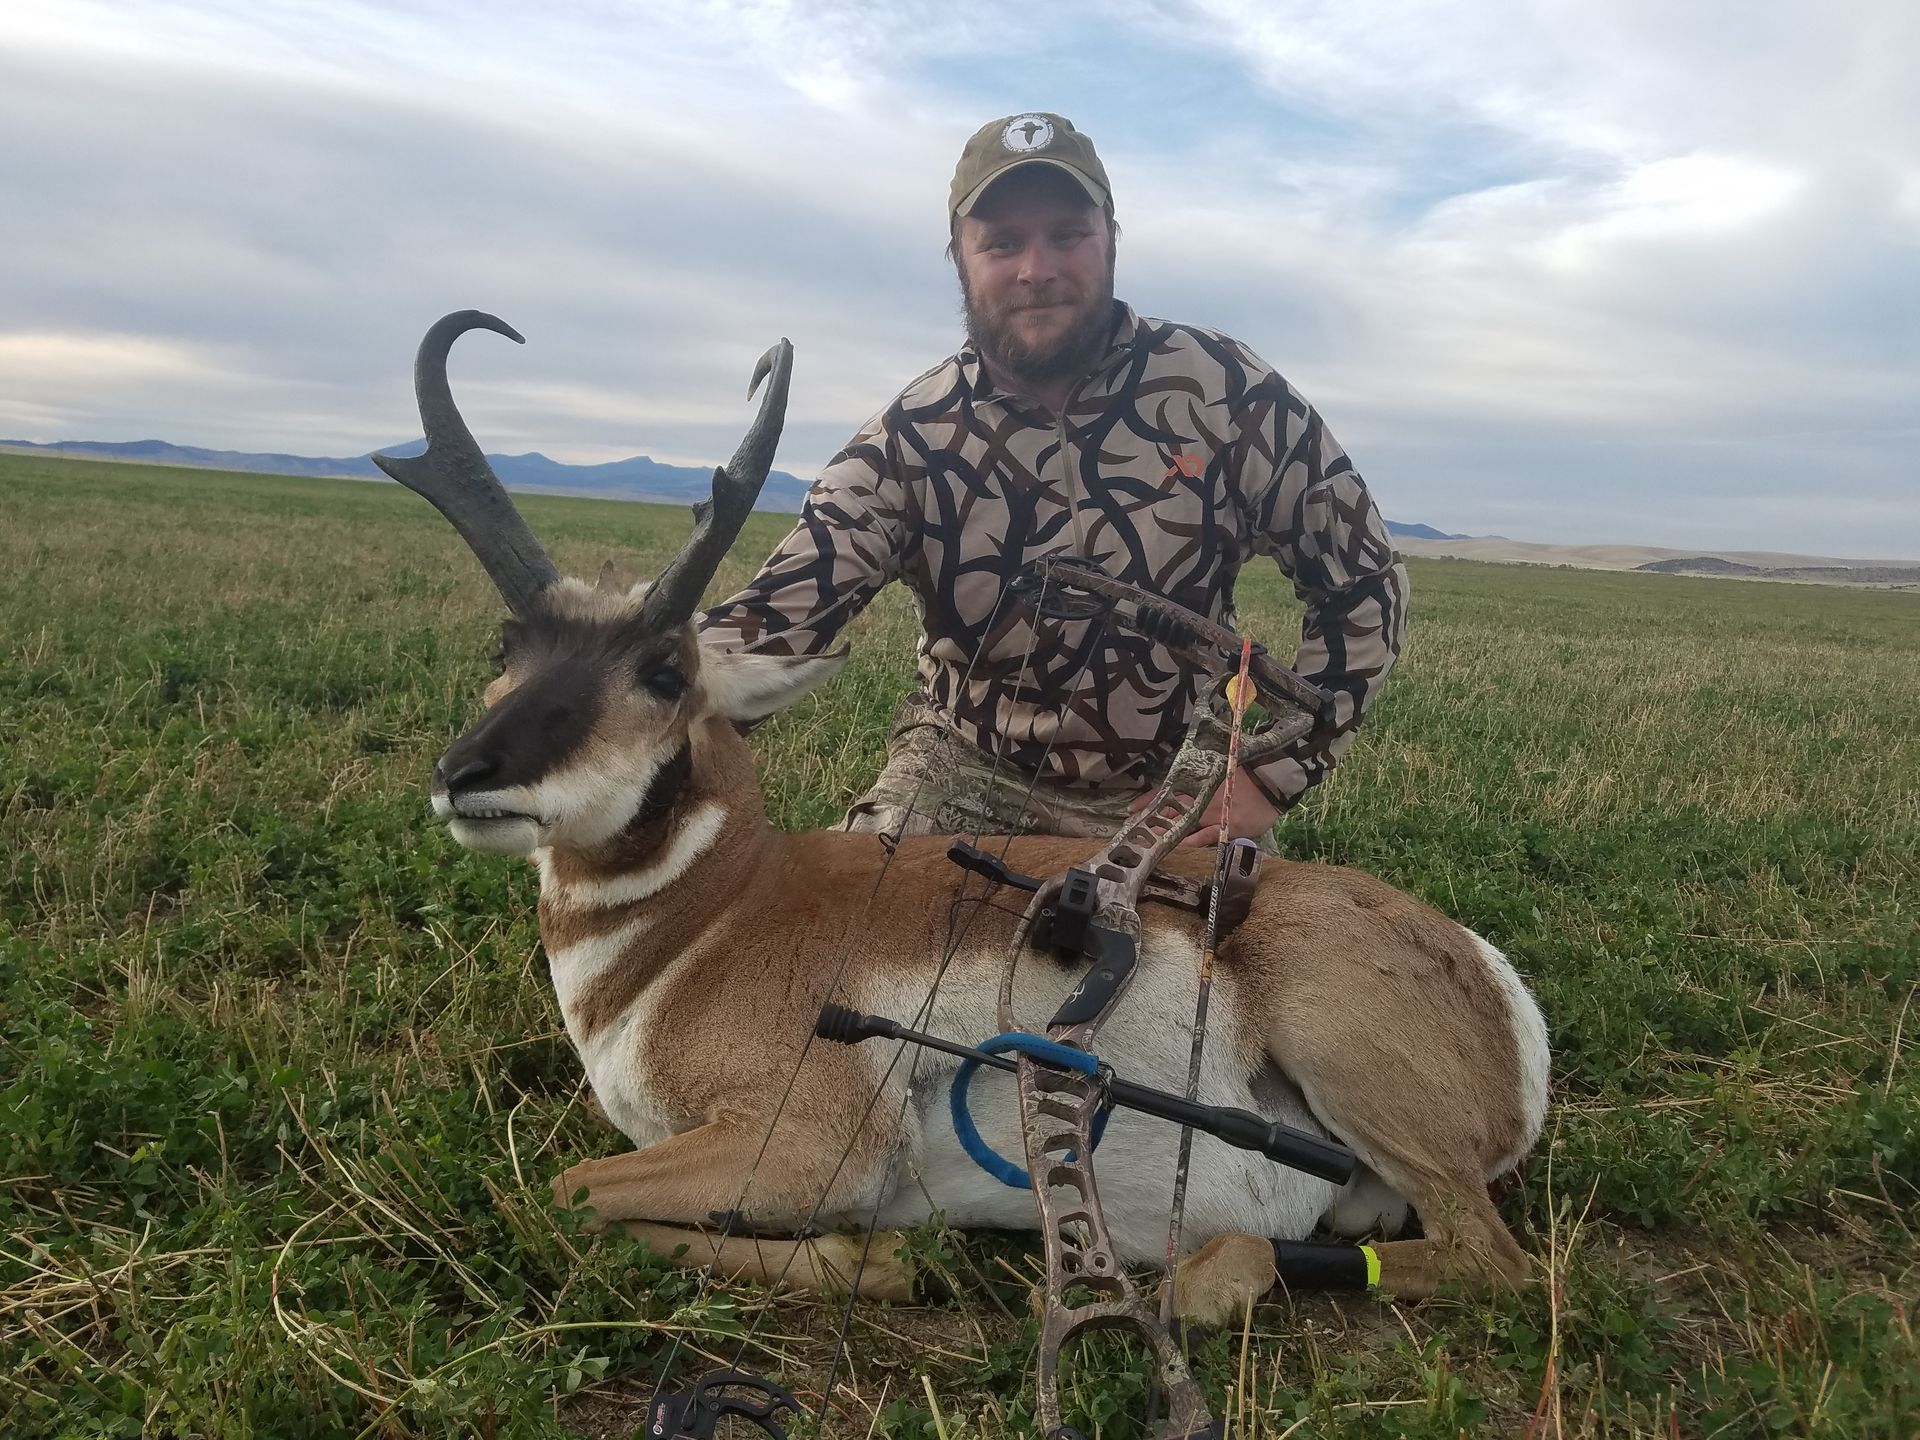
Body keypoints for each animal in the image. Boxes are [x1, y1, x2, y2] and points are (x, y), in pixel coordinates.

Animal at [380, 312, 1550, 1326]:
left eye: (665, 670)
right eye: (508, 646)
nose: (465, 773)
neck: (711, 920)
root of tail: (1492, 983)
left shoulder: (808, 1144)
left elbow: (566, 1189)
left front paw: (878, 1261)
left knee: (1498, 1265)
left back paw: (1199, 1285)